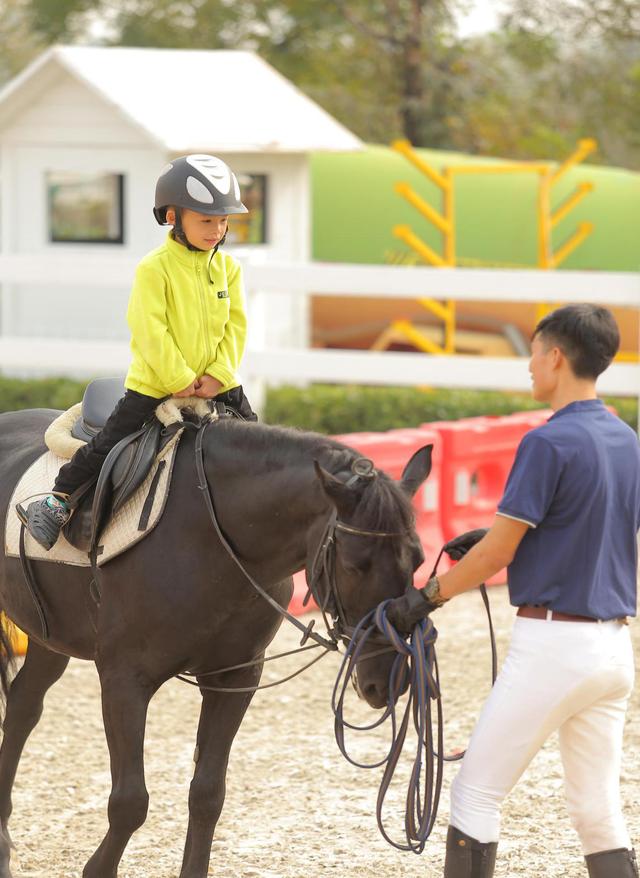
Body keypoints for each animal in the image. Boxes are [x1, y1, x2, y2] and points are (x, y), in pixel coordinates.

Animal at [0, 410, 432, 878]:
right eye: (355, 565)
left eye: (418, 560)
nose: (387, 679)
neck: (208, 535)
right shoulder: (124, 680)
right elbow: (130, 801)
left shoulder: (235, 677)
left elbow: (208, 793)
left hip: (49, 639)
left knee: (22, 708)